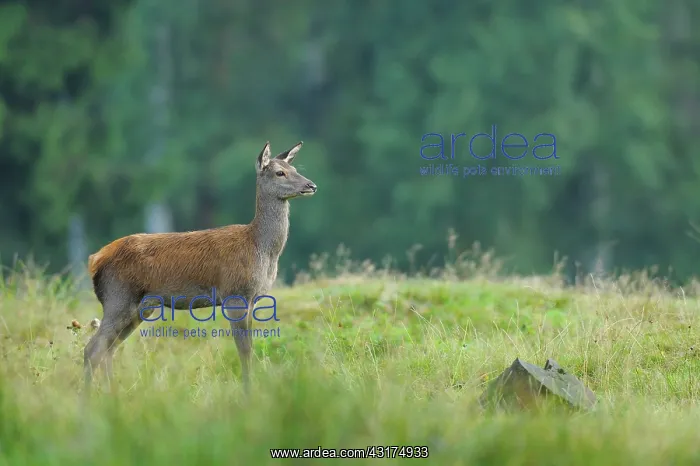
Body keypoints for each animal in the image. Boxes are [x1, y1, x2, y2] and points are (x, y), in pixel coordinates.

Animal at [83, 141, 317, 396]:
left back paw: (112, 396)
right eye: (279, 172)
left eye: (294, 169)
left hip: (141, 307)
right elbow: (244, 351)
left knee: (108, 349)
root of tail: (95, 259)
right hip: (118, 297)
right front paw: (248, 394)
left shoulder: (252, 299)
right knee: (92, 349)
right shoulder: (235, 294)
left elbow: (250, 347)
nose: (311, 185)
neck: (261, 249)